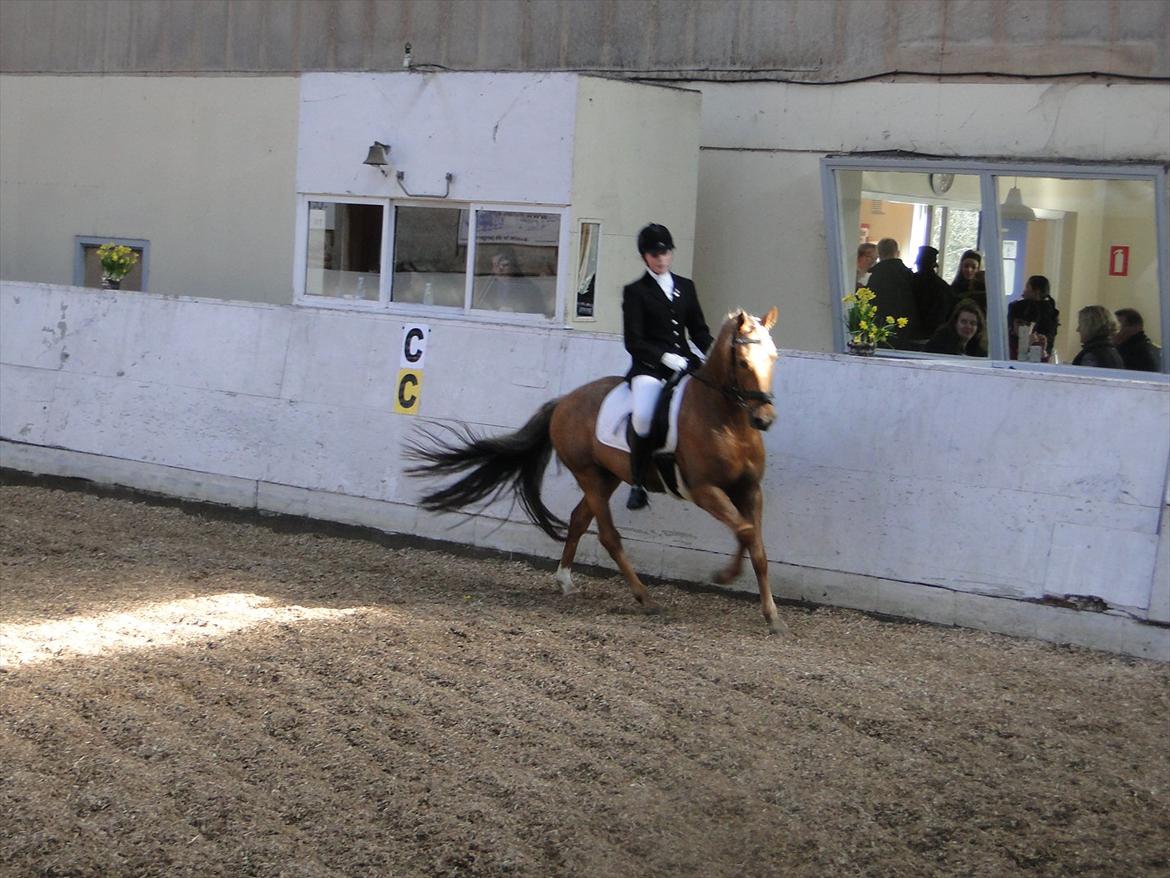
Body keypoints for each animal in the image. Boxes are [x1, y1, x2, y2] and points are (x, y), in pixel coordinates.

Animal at [406, 307, 787, 634]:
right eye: (742, 361)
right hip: (589, 474)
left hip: (608, 477)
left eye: (773, 358)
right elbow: (745, 531)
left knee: (578, 519)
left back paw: (565, 580)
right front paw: (726, 575)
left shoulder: (750, 490)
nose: (764, 419)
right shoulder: (704, 490)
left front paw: (772, 616)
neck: (727, 422)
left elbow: (756, 544)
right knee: (607, 536)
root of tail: (564, 401)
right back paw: (644, 597)